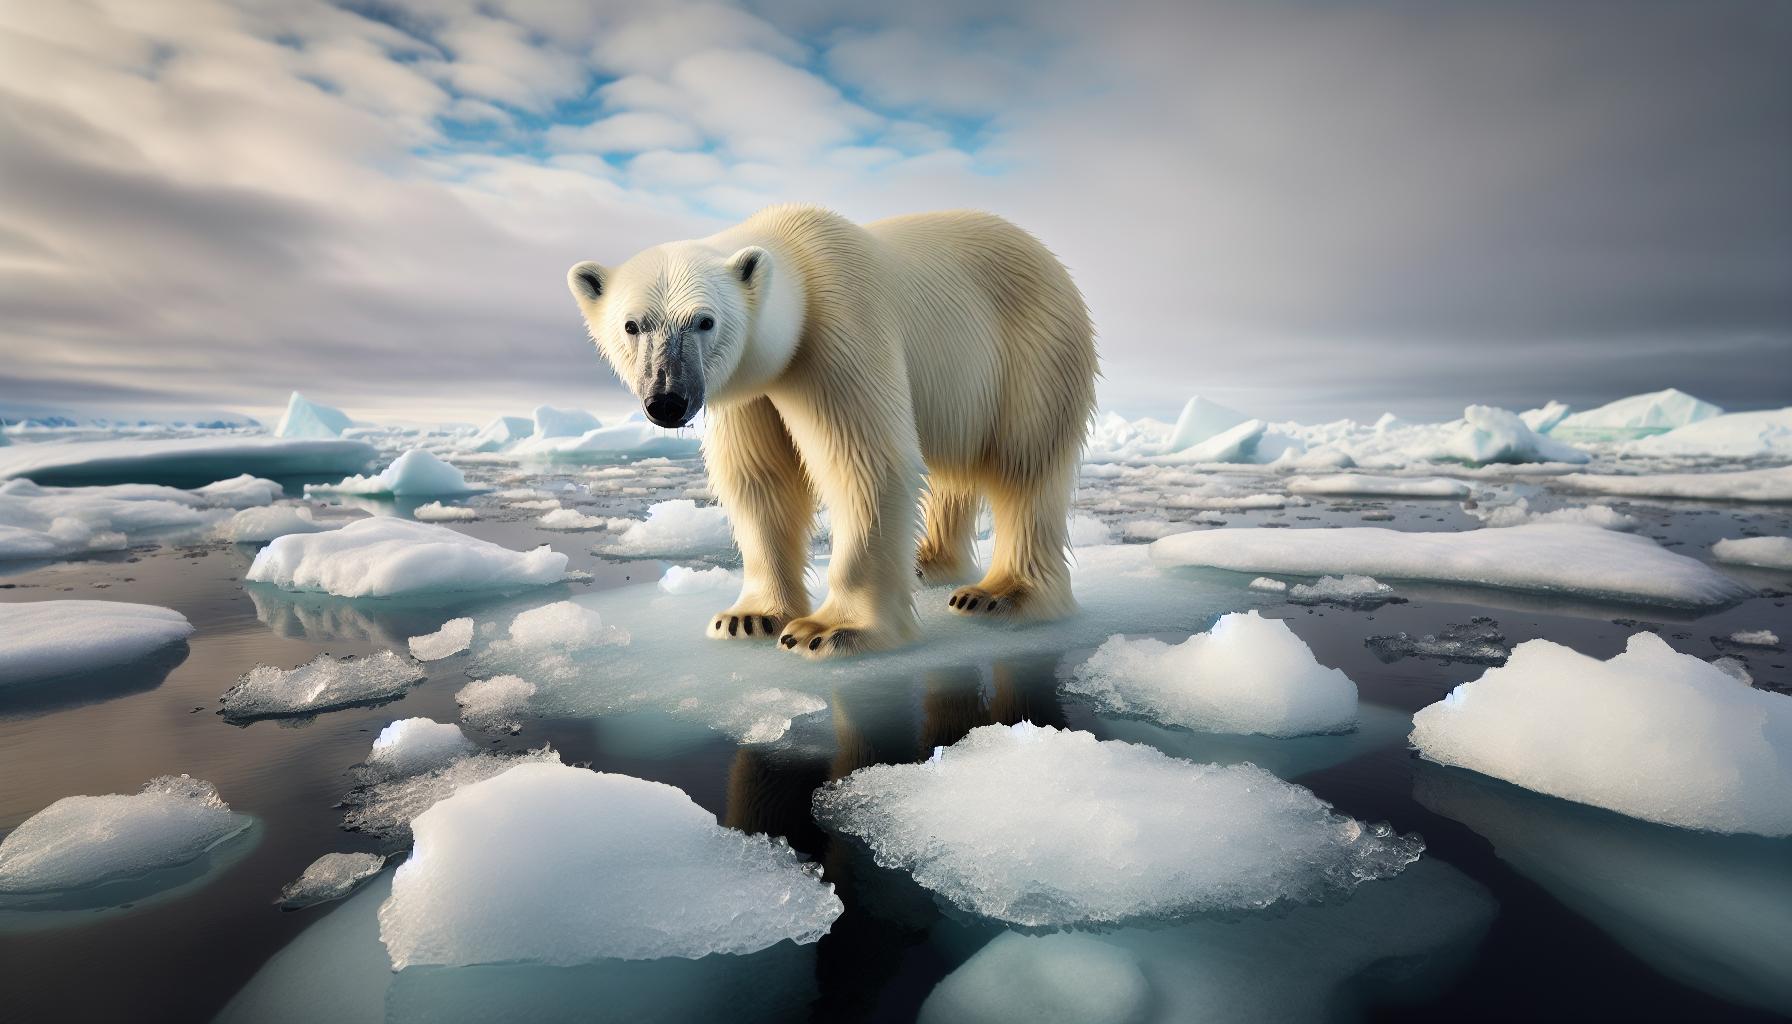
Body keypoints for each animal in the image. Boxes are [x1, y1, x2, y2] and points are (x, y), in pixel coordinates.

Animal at [566, 204, 1097, 659]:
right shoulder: (751, 389)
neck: (798, 259)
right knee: (953, 468)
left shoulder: (839, 331)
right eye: (633, 325)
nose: (667, 399)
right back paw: (926, 562)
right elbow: (760, 479)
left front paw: (827, 630)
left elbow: (865, 463)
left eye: (704, 321)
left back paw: (999, 594)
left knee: (1023, 465)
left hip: (1033, 349)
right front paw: (748, 618)